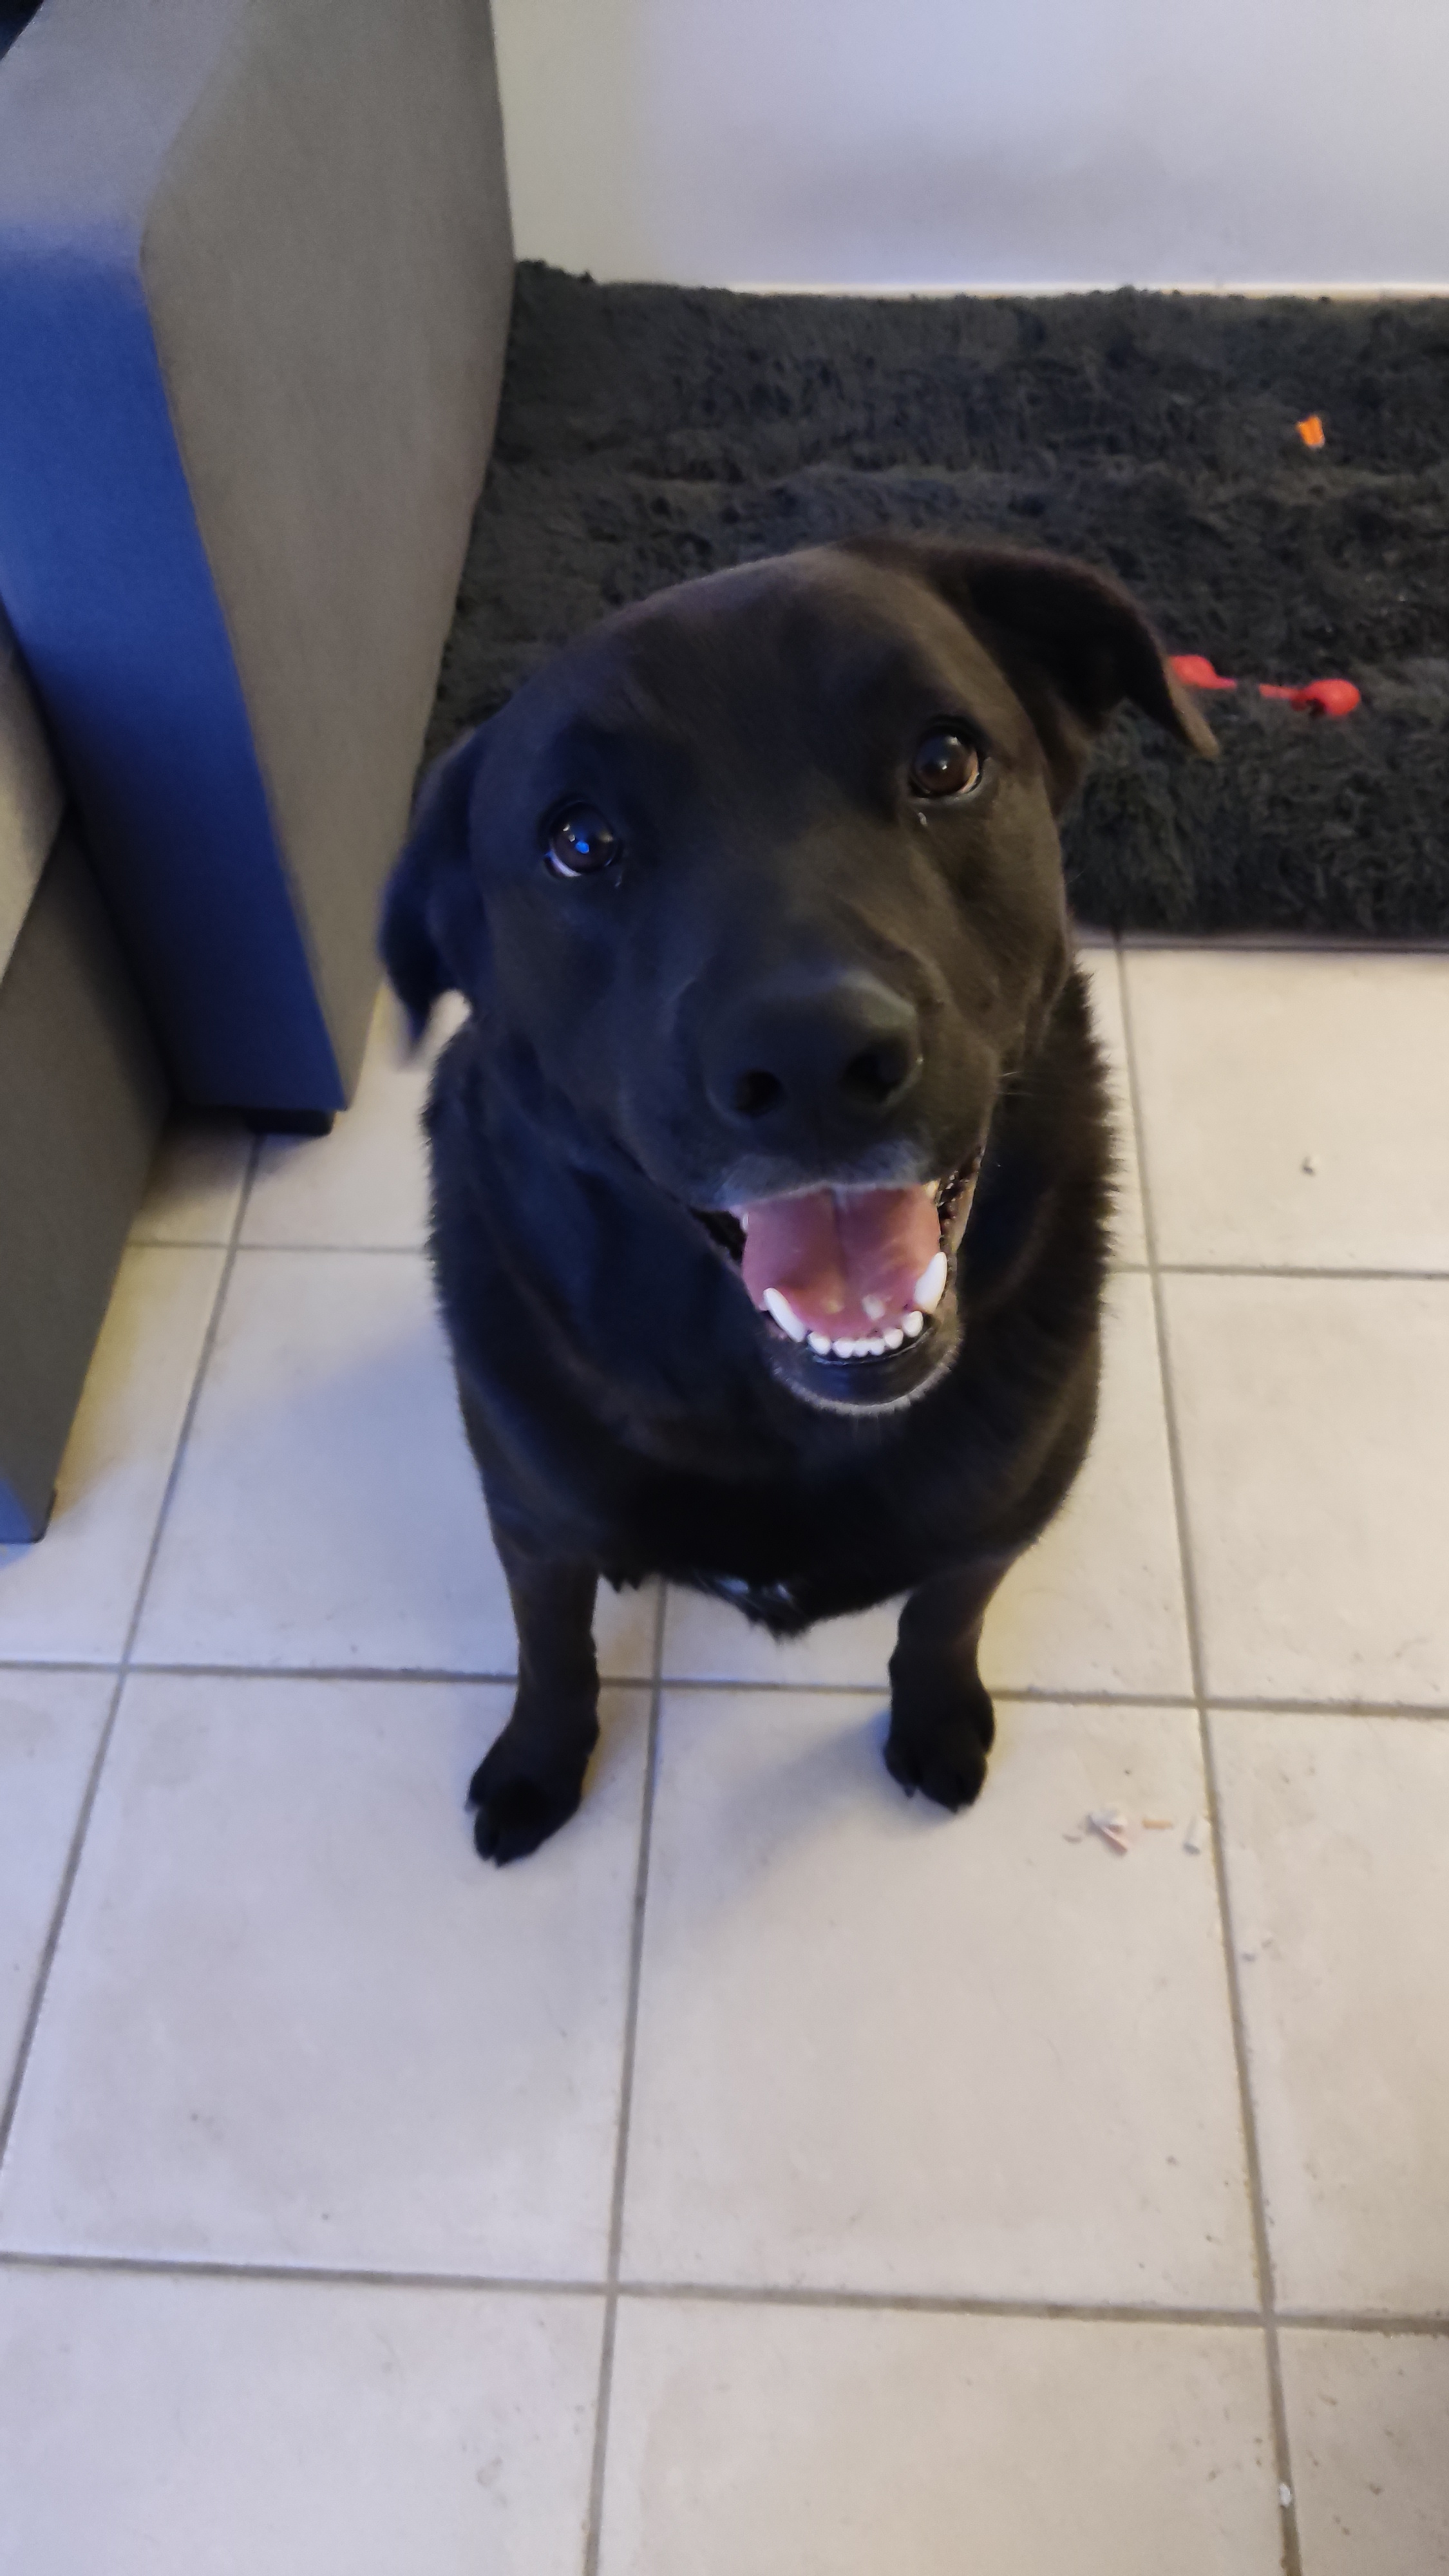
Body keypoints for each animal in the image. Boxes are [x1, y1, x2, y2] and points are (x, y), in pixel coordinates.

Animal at [383, 537, 1215, 1862]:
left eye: (943, 761)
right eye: (580, 842)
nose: (815, 1060)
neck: (772, 1410)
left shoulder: (998, 1518)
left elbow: (941, 1619)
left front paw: (936, 1716)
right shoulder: (531, 1516)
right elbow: (551, 1645)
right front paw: (539, 1759)